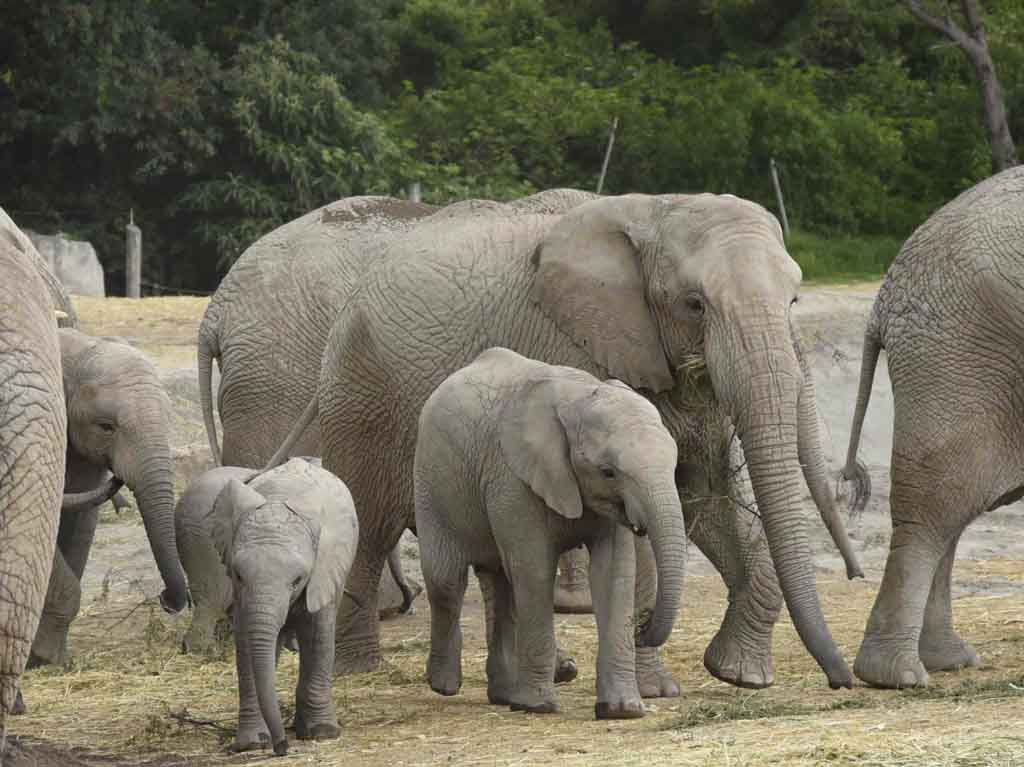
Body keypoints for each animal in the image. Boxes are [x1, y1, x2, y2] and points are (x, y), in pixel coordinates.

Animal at [207, 454, 360, 753]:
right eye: (238, 574)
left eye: (298, 579)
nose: (282, 748)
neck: (278, 499)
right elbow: (246, 642)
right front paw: (252, 743)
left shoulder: (324, 569)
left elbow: (318, 635)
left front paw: (322, 733)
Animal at [411, 346, 684, 716]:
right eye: (608, 472)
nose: (642, 625)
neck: (579, 397)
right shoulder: (512, 478)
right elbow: (535, 569)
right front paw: (539, 706)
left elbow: (613, 574)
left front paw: (622, 710)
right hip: (432, 480)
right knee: (447, 581)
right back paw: (445, 685)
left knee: (501, 583)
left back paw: (505, 695)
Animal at [839, 165, 1024, 688]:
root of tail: (885, 296)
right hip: (960, 353)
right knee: (938, 506)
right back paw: (899, 675)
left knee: (952, 509)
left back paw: (946, 661)